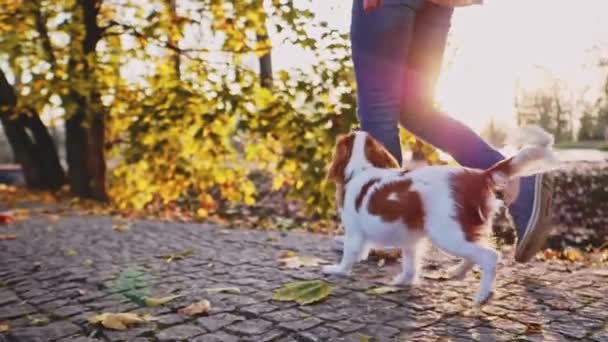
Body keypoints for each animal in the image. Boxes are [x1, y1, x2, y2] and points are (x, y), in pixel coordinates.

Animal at [326, 129, 560, 304]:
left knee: (490, 256)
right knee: (475, 253)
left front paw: (337, 270)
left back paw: (482, 295)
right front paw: (403, 281)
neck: (361, 169)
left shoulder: (354, 232)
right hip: (458, 232)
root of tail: (478, 176)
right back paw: (458, 271)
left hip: (446, 234)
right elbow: (410, 265)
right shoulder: (410, 239)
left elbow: (349, 254)